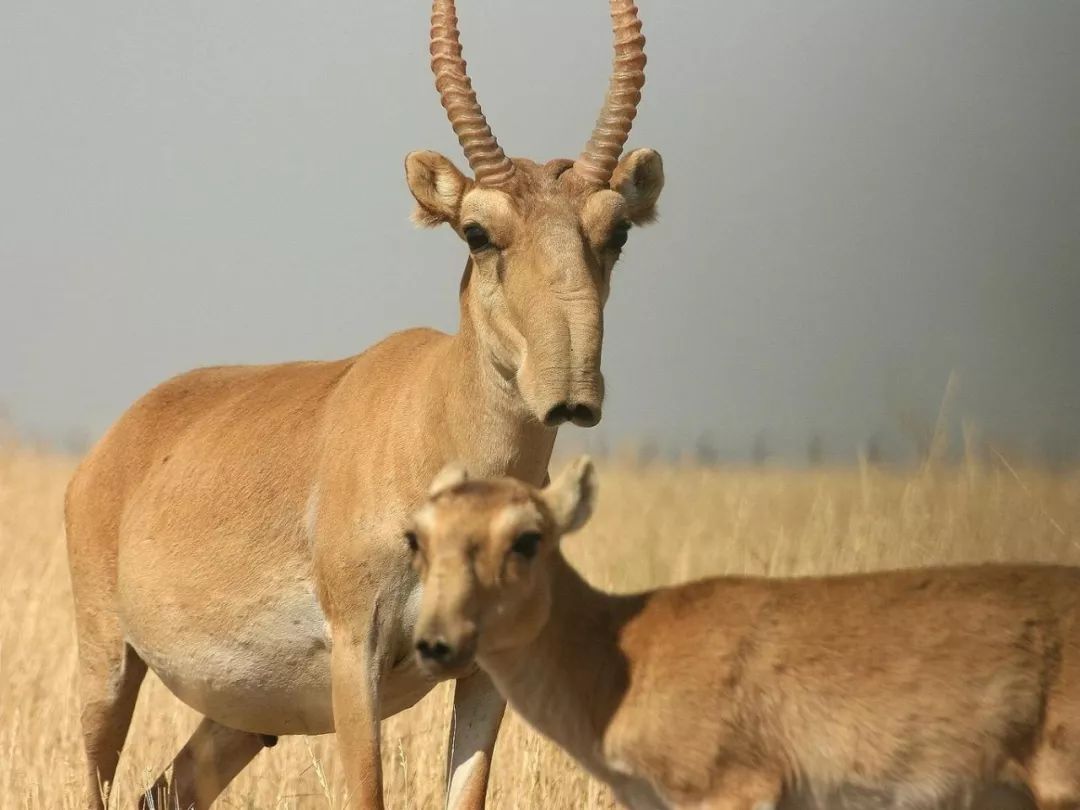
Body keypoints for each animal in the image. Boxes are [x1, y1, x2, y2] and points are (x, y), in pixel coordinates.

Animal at [63, 1, 660, 807]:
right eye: (478, 232)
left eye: (616, 230)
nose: (569, 390)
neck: (429, 413)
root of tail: (113, 447)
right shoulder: (358, 660)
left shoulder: (486, 672)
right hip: (108, 668)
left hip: (239, 721)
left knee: (164, 790)